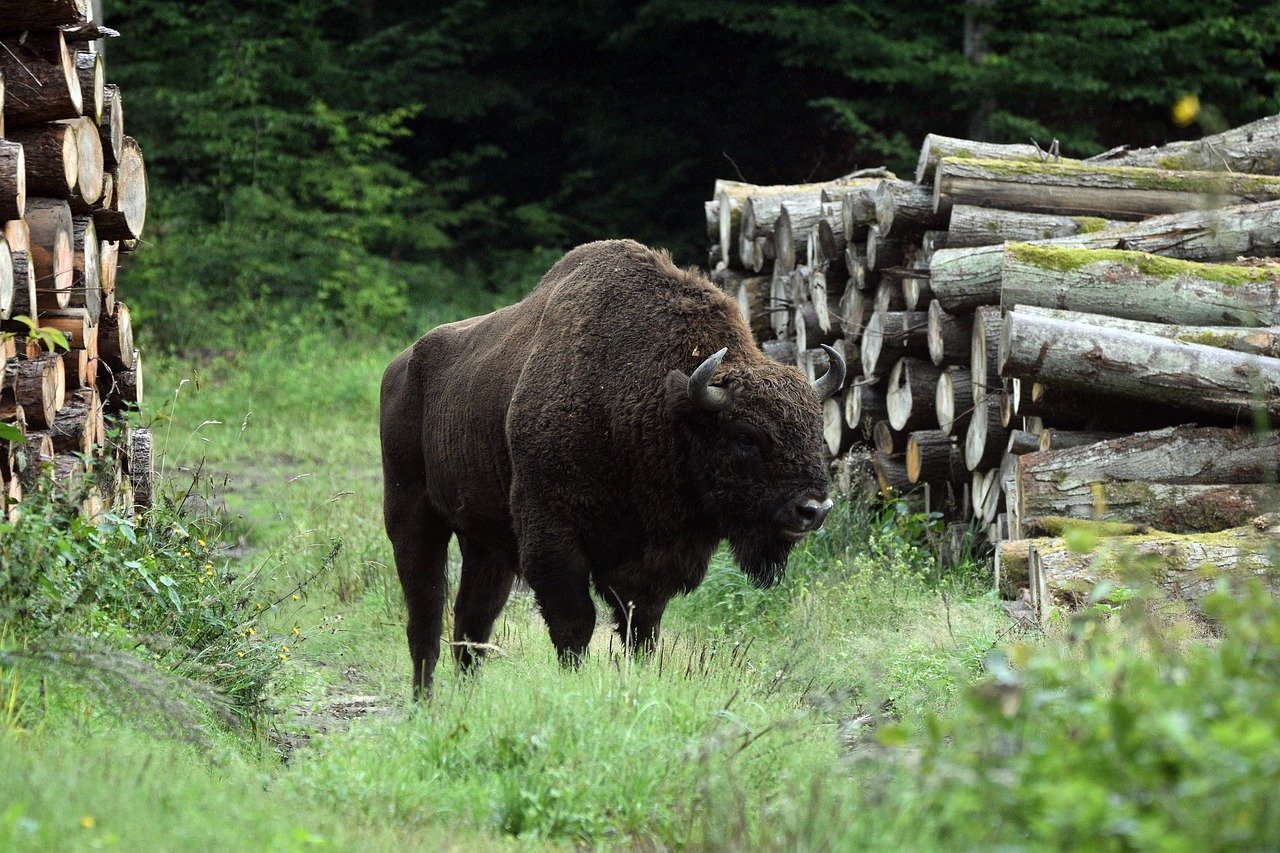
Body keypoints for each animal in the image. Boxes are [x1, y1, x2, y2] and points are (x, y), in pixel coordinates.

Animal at [378, 236, 839, 691]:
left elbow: (642, 627)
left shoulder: (653, 561)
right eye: (745, 436)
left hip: (485, 541)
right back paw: (424, 698)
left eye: (816, 428)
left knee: (472, 619)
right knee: (426, 613)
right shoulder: (552, 538)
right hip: (413, 519)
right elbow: (575, 622)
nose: (813, 509)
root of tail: (400, 367)